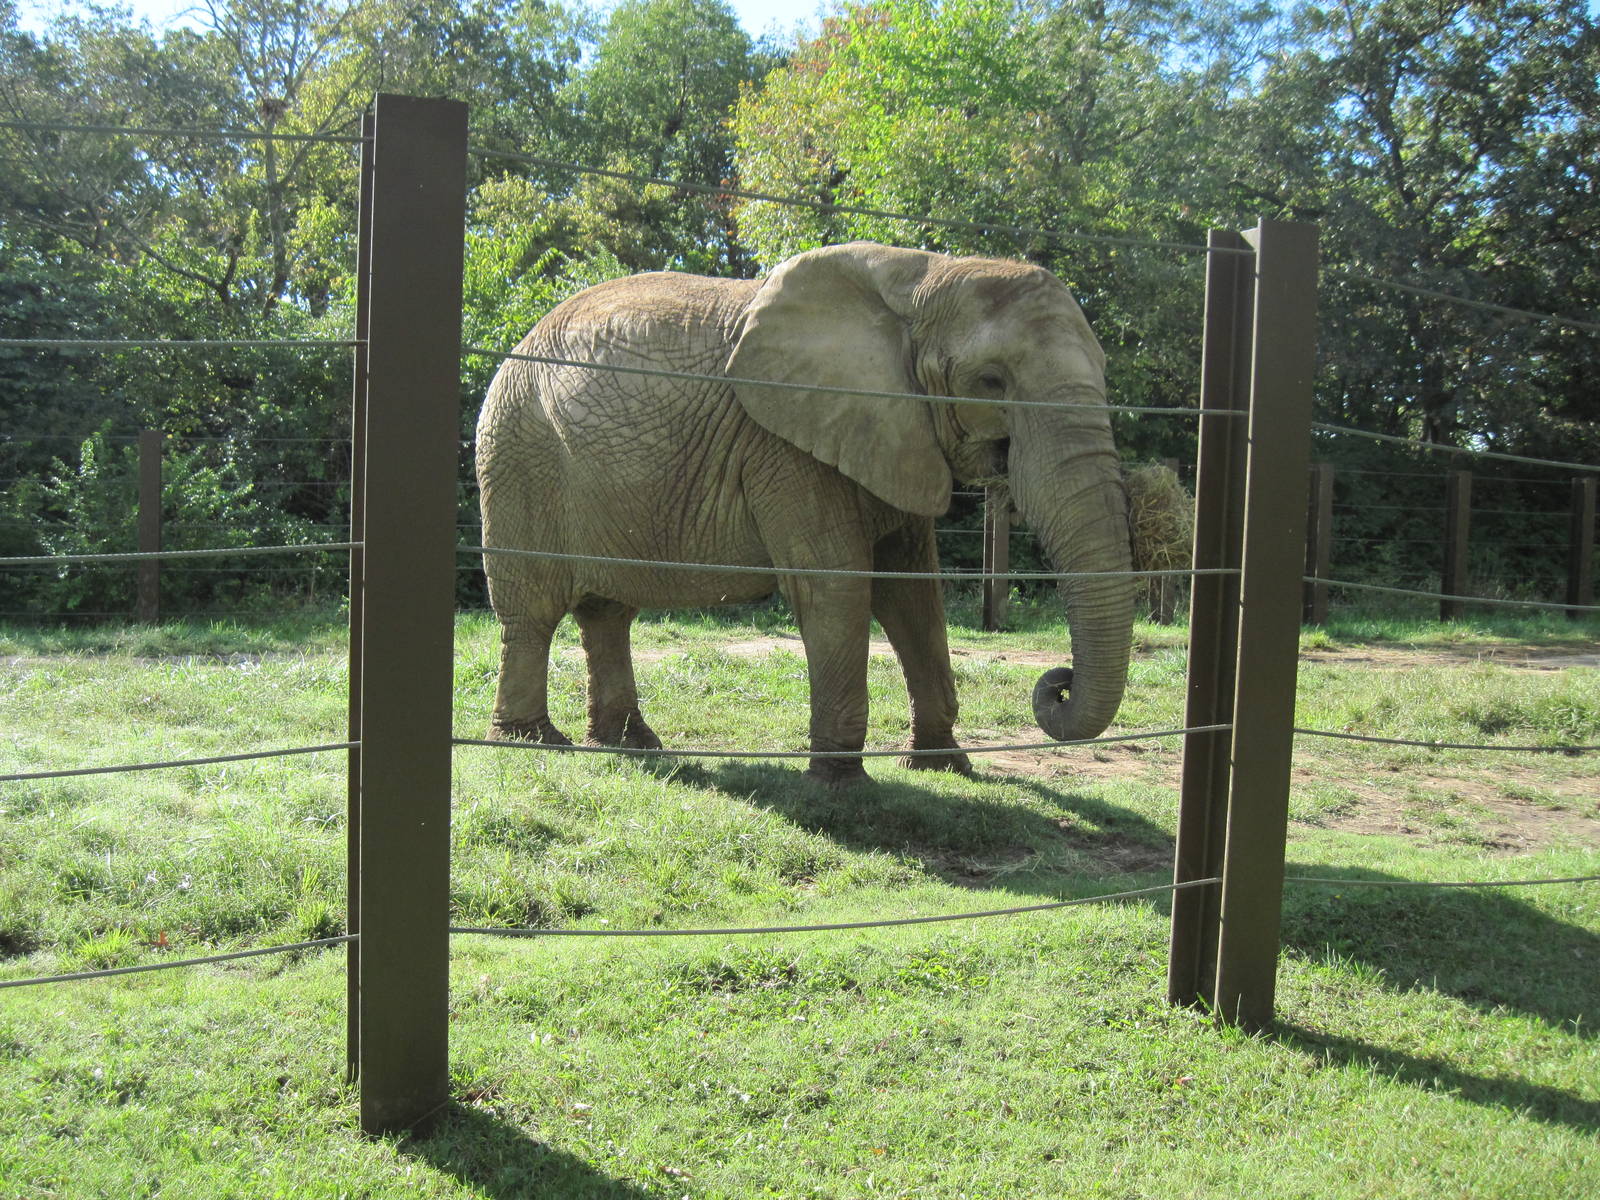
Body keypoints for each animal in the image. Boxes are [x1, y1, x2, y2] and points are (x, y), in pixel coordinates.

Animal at [475, 241, 1135, 785]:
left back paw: (632, 748)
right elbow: (836, 585)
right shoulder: (785, 446)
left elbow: (914, 590)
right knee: (532, 611)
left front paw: (944, 765)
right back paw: (537, 743)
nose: (1058, 683)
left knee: (607, 611)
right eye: (991, 380)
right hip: (520, 455)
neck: (924, 276)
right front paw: (841, 785)